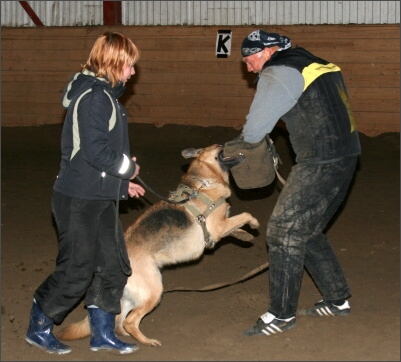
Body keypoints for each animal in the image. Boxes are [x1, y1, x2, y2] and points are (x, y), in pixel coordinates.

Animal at [54, 144, 258, 348]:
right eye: (216, 147)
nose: (224, 144)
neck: (204, 181)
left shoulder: (221, 227)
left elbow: (237, 227)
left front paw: (245, 235)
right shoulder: (218, 226)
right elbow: (245, 215)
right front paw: (254, 225)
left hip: (132, 296)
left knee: (120, 320)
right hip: (153, 291)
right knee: (129, 321)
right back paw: (148, 341)